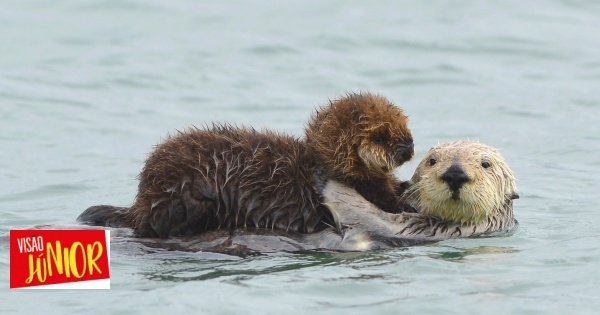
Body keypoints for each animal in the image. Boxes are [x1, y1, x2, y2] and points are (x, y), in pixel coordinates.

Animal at [77, 92, 414, 238]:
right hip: (183, 199)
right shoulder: (364, 190)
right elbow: (390, 202)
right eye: (381, 135)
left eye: (404, 125)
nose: (408, 146)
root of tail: (141, 201)